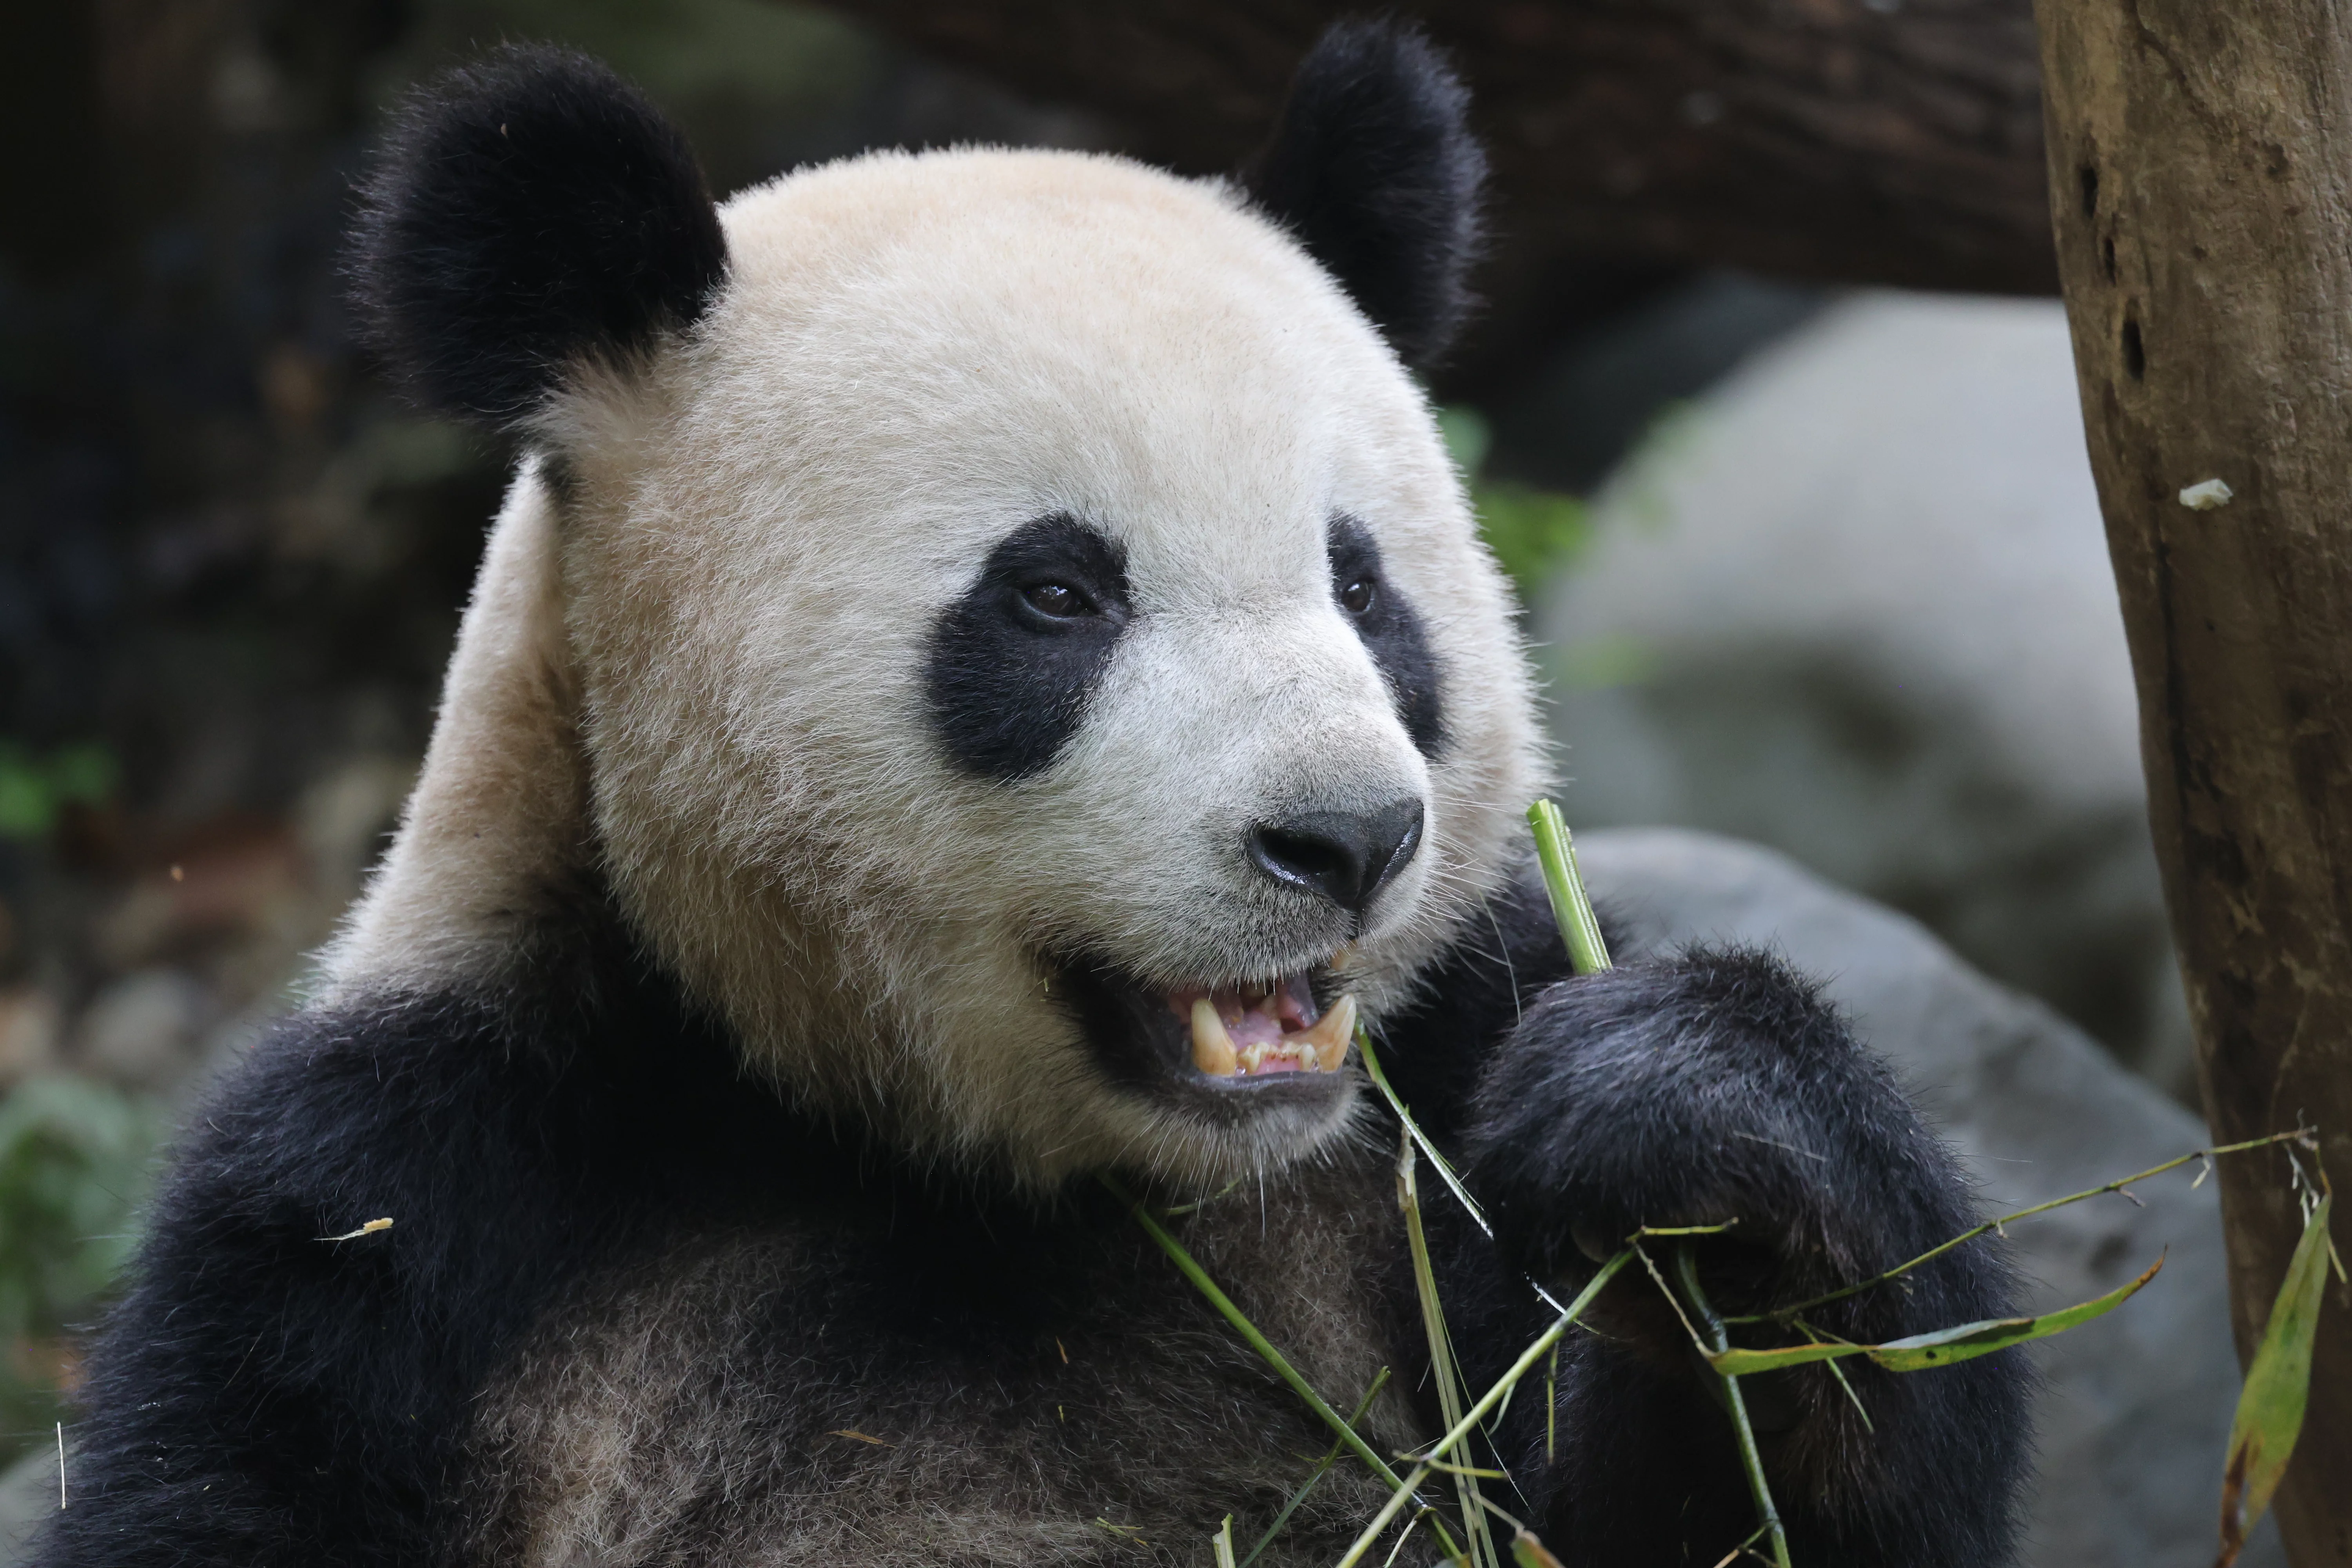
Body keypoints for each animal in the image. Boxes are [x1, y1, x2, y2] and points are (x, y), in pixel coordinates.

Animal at [36, 22, 2027, 1568]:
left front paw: (1697, 1134)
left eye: (1362, 583)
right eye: (1057, 593)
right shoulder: (423, 1211)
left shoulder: (1437, 1103)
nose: (1348, 839)